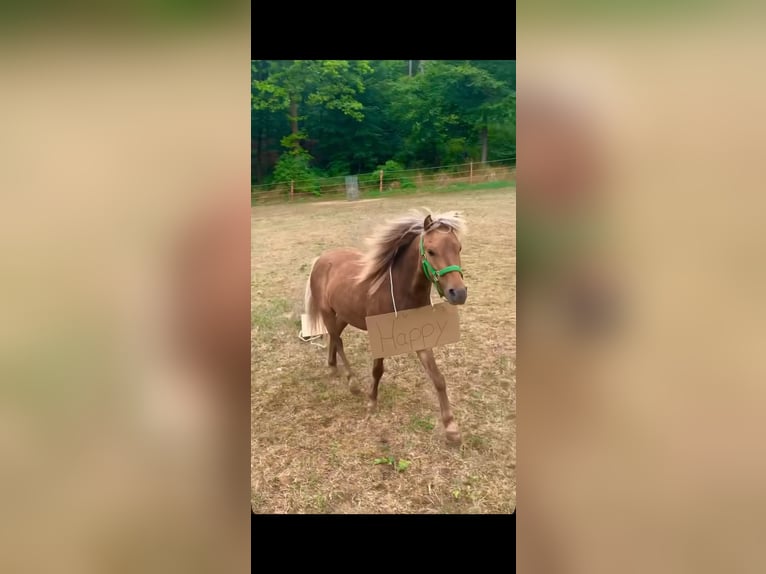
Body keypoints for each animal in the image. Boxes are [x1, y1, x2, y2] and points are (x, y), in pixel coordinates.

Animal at [303, 209, 468, 443]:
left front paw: (451, 427)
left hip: (344, 314)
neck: (399, 290)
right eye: (431, 251)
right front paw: (371, 402)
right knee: (338, 340)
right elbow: (377, 370)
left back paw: (333, 366)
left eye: (458, 248)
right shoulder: (380, 337)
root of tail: (321, 259)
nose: (459, 293)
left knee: (334, 337)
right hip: (327, 312)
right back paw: (352, 382)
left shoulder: (419, 337)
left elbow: (438, 378)